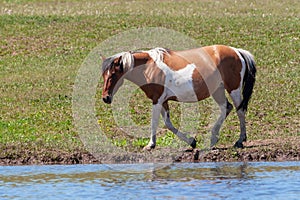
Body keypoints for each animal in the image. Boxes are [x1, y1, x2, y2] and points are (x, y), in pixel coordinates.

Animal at [101, 45, 255, 151]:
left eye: (113, 74)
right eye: (104, 75)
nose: (105, 98)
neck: (149, 67)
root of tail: (237, 51)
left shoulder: (157, 99)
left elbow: (154, 122)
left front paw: (150, 145)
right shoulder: (163, 101)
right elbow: (168, 124)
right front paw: (191, 142)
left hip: (233, 89)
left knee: (239, 111)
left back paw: (240, 140)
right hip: (218, 90)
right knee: (226, 108)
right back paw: (213, 138)